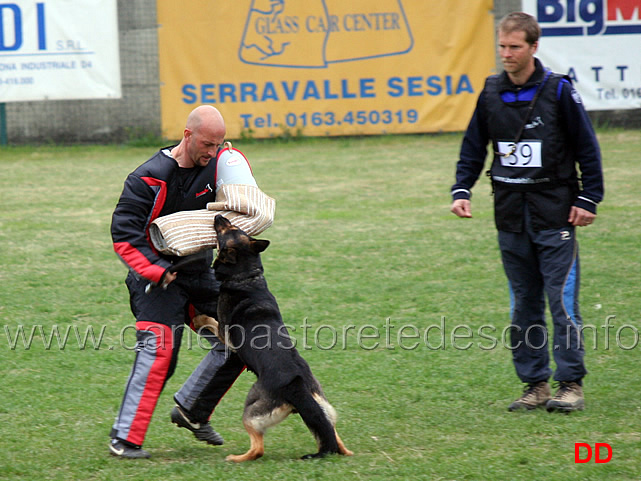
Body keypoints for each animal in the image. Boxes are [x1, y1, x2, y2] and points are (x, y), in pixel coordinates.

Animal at [192, 215, 352, 462]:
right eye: (235, 227)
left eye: (226, 229)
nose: (218, 216)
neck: (247, 276)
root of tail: (297, 385)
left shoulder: (226, 335)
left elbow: (210, 320)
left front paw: (198, 318)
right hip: (323, 406)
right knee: (332, 434)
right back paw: (345, 451)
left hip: (251, 410)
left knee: (258, 448)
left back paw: (236, 458)